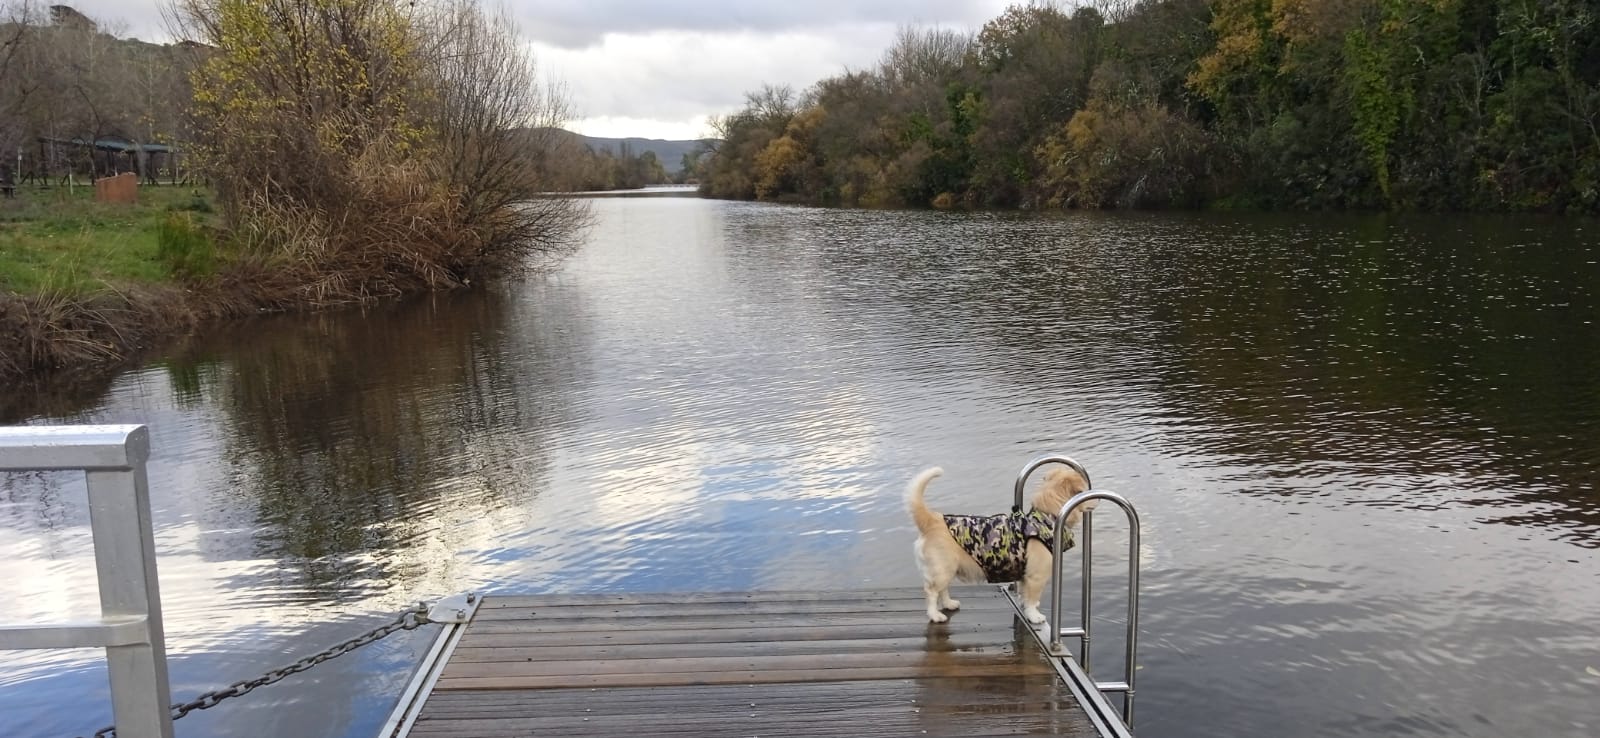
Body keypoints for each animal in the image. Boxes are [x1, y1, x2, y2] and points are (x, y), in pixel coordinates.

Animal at [908, 467, 1094, 621]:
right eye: (1083, 491)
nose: (1095, 499)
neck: (1046, 518)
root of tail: (931, 519)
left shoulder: (1025, 576)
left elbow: (1025, 595)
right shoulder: (1036, 577)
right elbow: (1032, 598)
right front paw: (1034, 616)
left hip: (946, 570)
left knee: (942, 589)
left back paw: (949, 603)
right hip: (943, 569)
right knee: (931, 591)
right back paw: (935, 615)